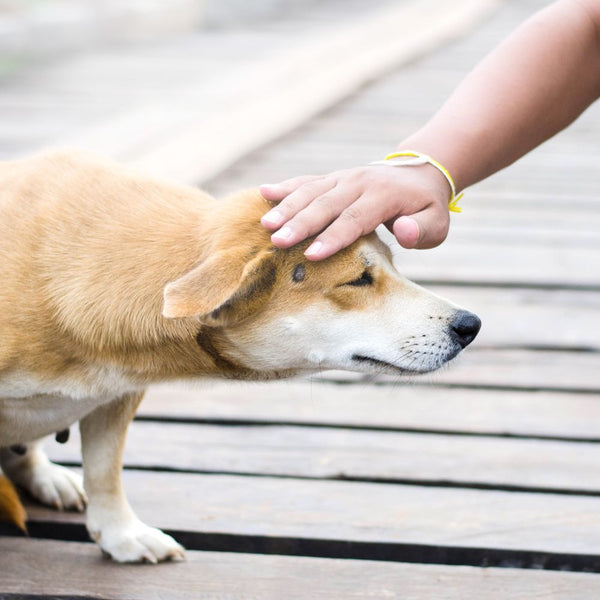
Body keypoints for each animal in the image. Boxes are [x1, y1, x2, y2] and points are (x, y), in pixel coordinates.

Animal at [0, 151, 480, 564]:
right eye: (359, 279)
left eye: (394, 267)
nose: (470, 325)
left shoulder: (118, 396)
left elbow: (105, 472)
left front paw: (122, 534)